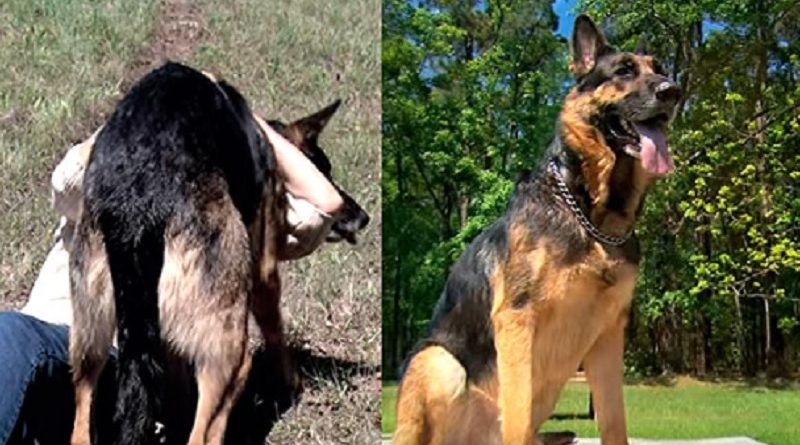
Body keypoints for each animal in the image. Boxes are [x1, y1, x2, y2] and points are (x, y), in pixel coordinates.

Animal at [69, 60, 368, 444]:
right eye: (325, 170)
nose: (363, 217)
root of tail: (138, 200)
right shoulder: (264, 272)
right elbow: (276, 331)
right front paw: (292, 384)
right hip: (228, 355)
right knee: (207, 424)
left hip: (88, 347)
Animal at [394, 14, 680, 444]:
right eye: (624, 71)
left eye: (659, 69)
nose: (673, 91)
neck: (591, 216)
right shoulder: (517, 321)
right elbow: (518, 415)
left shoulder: (608, 338)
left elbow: (614, 422)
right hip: (437, 360)